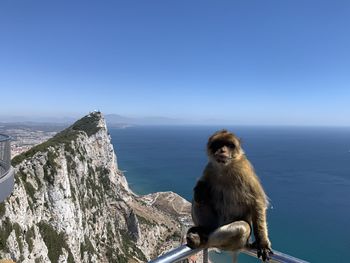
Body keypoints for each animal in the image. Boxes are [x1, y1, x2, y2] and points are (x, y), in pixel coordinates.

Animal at [186, 130, 274, 262]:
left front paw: (262, 243)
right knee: (198, 199)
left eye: (229, 145)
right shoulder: (210, 167)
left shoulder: (244, 170)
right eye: (218, 144)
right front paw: (200, 187)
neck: (225, 168)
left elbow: (258, 202)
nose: (222, 150)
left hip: (235, 242)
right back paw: (202, 231)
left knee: (242, 228)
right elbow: (203, 184)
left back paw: (203, 239)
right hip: (214, 224)